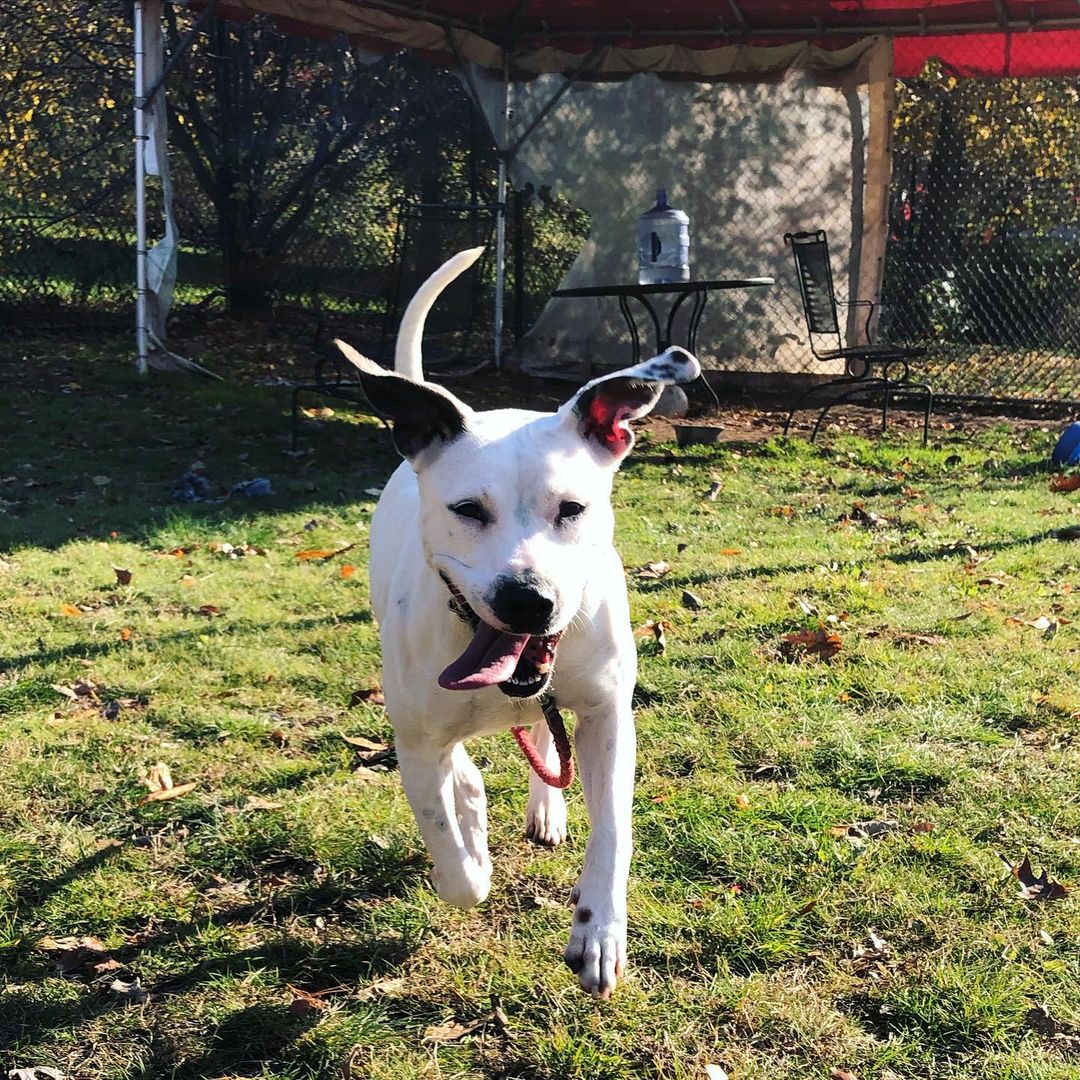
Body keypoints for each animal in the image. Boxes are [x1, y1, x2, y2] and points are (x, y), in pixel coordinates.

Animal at [334, 248, 699, 997]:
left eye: (572, 508)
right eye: (468, 509)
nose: (528, 599)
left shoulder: (607, 717)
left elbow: (613, 831)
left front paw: (597, 931)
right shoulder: (417, 742)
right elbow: (455, 861)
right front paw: (470, 844)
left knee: (541, 742)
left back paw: (546, 808)